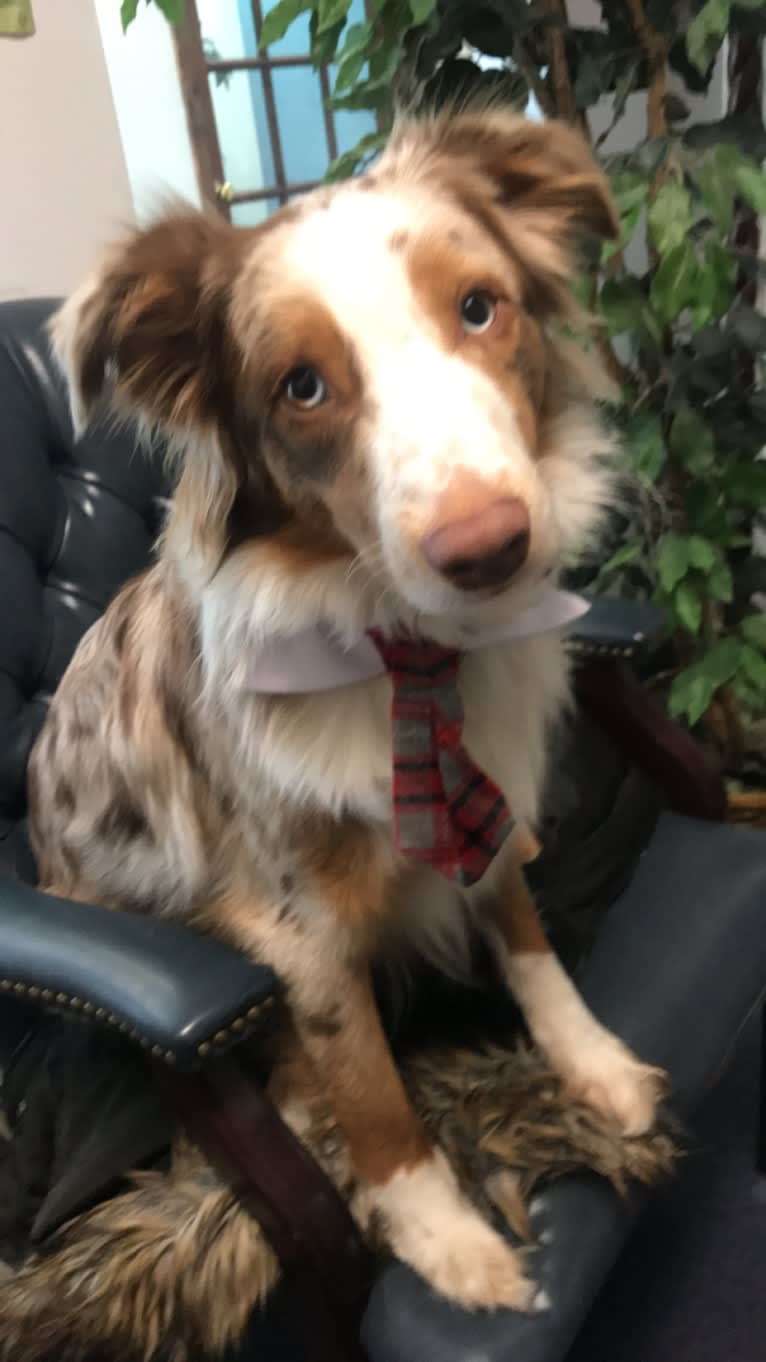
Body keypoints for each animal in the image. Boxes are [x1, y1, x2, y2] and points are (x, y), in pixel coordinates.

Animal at [31, 108, 662, 1307]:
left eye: (479, 308)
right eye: (302, 388)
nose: (488, 550)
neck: (408, 654)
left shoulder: (483, 804)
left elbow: (527, 941)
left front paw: (593, 1061)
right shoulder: (298, 927)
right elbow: (369, 1087)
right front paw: (446, 1239)